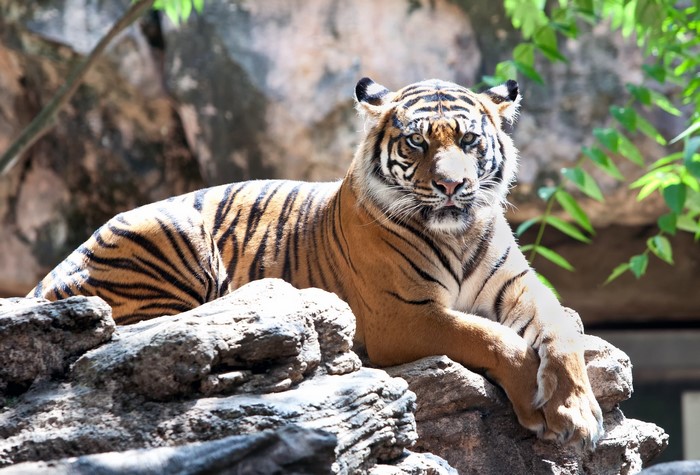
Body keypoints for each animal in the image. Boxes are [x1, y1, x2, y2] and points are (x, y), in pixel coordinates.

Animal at [30, 77, 604, 449]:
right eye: (416, 142)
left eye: (468, 140)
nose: (451, 185)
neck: (458, 233)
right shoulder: (401, 315)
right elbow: (488, 336)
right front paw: (536, 405)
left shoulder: (519, 284)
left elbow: (560, 331)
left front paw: (576, 412)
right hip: (166, 235)